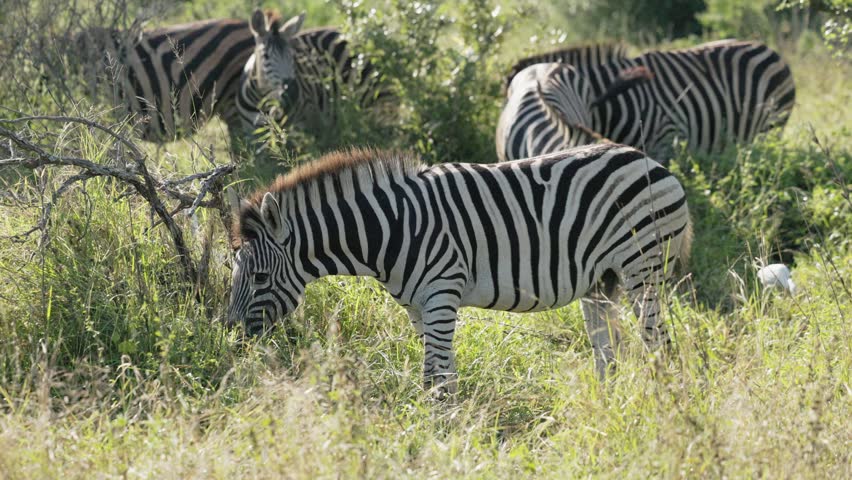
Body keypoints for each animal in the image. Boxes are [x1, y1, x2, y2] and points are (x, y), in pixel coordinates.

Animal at [227, 144, 692, 394]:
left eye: (261, 278)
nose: (231, 340)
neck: (391, 229)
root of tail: (651, 162)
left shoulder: (441, 295)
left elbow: (434, 374)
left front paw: (439, 433)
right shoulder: (417, 307)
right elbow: (440, 372)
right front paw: (451, 426)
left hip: (643, 268)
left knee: (660, 346)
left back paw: (662, 405)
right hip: (602, 281)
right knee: (607, 353)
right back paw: (605, 405)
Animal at [236, 9, 390, 149]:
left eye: (292, 56)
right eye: (266, 56)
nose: (293, 92)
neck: (261, 102)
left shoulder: (301, 128)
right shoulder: (253, 136)